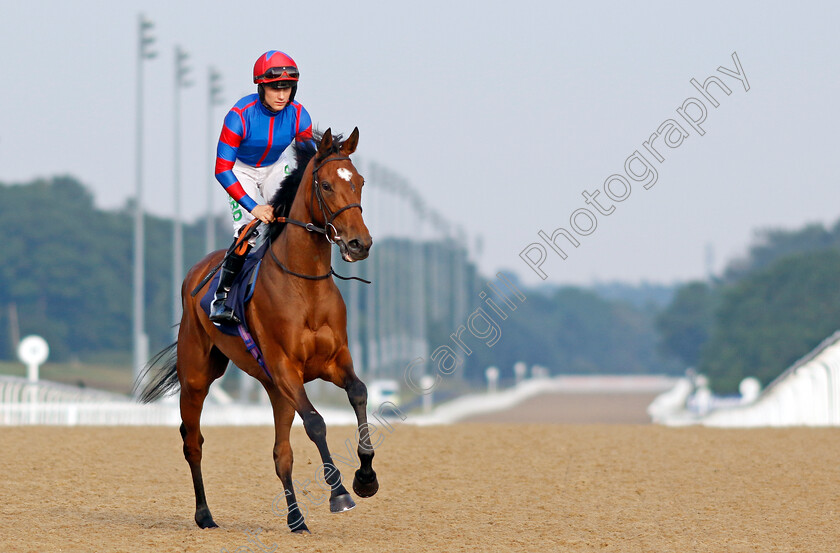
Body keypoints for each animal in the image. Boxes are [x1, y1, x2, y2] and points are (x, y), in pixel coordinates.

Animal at [137, 127, 378, 532]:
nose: (359, 243)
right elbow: (316, 423)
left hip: (274, 390)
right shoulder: (285, 368)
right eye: (326, 185)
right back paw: (205, 515)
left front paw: (366, 477)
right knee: (193, 441)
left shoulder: (333, 362)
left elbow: (358, 393)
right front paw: (340, 494)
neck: (305, 286)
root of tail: (197, 272)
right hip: (198, 376)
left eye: (359, 182)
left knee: (282, 454)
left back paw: (297, 520)